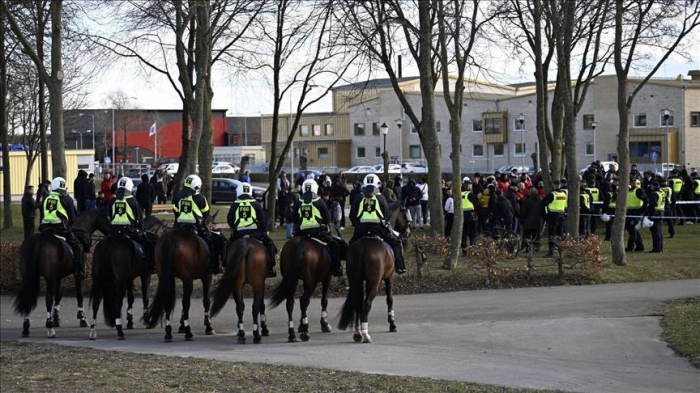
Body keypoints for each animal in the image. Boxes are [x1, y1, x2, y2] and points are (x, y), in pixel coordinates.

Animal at [12, 210, 109, 338]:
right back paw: (50, 329)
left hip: (30, 277)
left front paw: (56, 318)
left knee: (30, 296)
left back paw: (26, 327)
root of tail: (37, 240)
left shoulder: (57, 276)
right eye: (108, 218)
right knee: (48, 298)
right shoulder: (76, 276)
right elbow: (79, 295)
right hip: (49, 278)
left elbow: (58, 295)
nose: (112, 231)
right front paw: (82, 318)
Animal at [338, 204, 410, 342]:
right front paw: (392, 324)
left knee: (358, 303)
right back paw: (365, 334)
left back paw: (358, 333)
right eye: (405, 216)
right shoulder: (389, 277)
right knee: (366, 304)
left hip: (356, 282)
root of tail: (362, 248)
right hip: (374, 283)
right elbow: (389, 299)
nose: (408, 232)